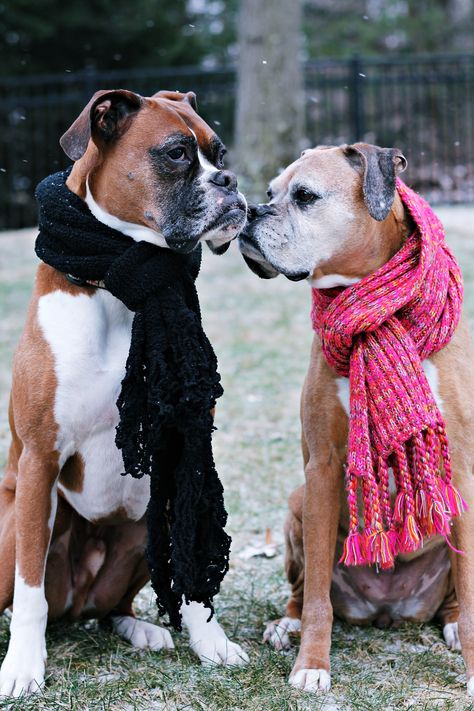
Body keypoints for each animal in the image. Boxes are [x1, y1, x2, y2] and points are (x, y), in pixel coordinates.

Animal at [0, 89, 250, 700]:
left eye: (218, 152)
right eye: (177, 154)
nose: (230, 179)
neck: (120, 282)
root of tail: (77, 603)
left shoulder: (184, 453)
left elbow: (193, 566)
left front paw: (211, 644)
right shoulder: (39, 460)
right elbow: (29, 592)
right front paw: (22, 666)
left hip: (141, 531)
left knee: (114, 605)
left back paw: (141, 628)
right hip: (10, 524)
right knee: (34, 594)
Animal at [239, 143, 474, 696]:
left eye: (305, 196)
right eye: (270, 193)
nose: (250, 212)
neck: (378, 312)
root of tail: (387, 608)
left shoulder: (460, 471)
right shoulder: (323, 469)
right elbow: (319, 599)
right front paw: (311, 665)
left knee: (456, 594)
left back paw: (452, 622)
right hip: (298, 502)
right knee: (304, 590)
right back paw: (286, 624)